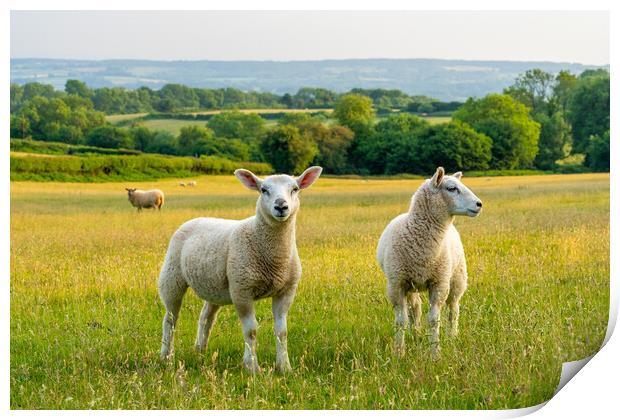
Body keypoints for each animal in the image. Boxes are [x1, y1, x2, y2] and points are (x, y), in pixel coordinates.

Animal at [157, 166, 322, 372]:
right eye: (263, 190)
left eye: (295, 189)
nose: (281, 206)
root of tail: (195, 219)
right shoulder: (241, 289)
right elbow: (251, 331)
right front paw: (252, 367)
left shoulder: (286, 291)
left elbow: (282, 331)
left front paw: (284, 367)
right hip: (172, 276)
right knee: (170, 319)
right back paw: (166, 356)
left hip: (214, 286)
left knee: (206, 318)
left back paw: (200, 352)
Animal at [376, 167, 482, 358]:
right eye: (451, 188)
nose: (479, 204)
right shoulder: (396, 284)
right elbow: (401, 320)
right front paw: (399, 351)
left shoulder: (439, 283)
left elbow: (434, 320)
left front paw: (435, 353)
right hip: (411, 284)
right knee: (415, 308)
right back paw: (416, 334)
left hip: (457, 278)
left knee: (453, 309)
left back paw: (452, 336)